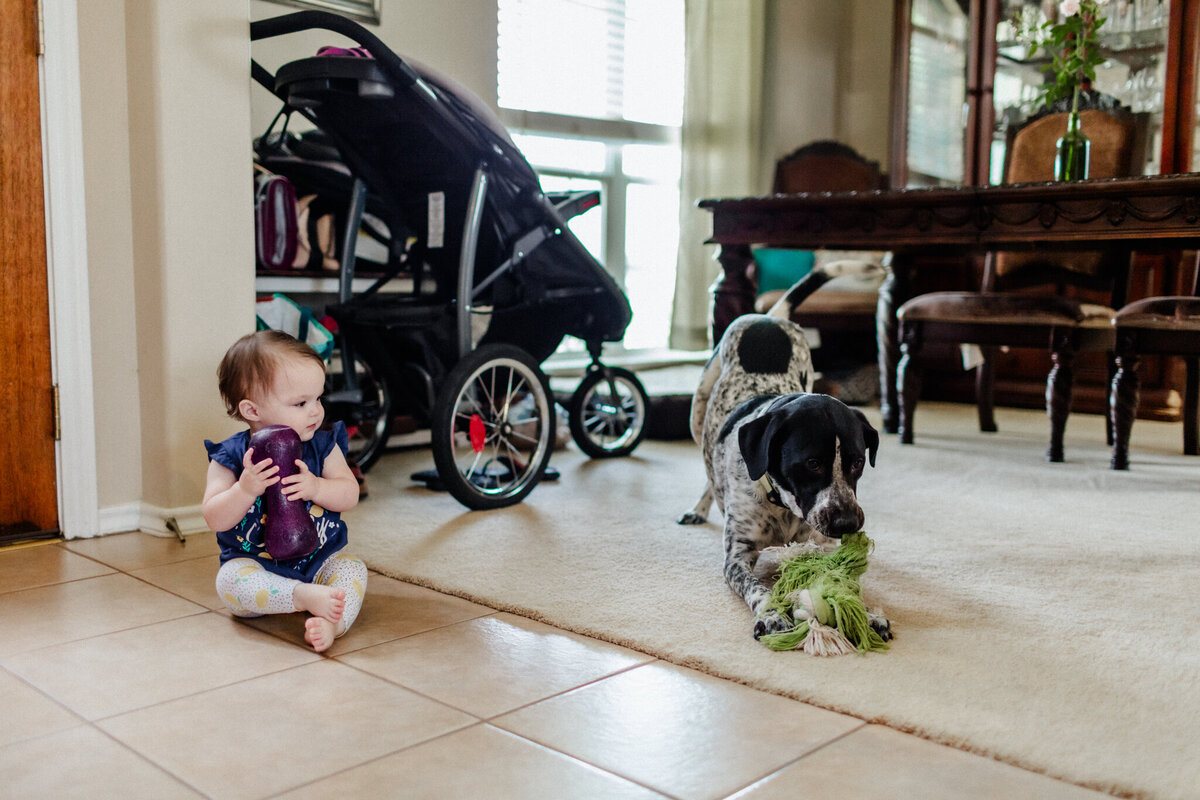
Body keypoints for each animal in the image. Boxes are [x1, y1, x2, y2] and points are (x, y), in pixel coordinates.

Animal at [681, 262, 888, 638]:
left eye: (857, 462)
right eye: (812, 463)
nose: (848, 523)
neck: (783, 506)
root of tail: (770, 318)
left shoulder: (821, 545)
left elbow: (842, 581)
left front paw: (866, 614)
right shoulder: (738, 556)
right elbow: (756, 587)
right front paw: (771, 612)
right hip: (698, 408)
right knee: (706, 464)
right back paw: (700, 507)